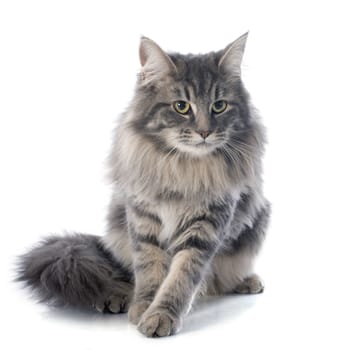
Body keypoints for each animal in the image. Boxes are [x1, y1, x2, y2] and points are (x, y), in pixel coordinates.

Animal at [17, 32, 270, 336]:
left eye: (219, 106)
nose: (205, 132)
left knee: (219, 279)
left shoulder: (206, 225)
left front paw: (161, 315)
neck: (185, 168)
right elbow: (150, 270)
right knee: (120, 273)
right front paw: (144, 307)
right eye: (181, 106)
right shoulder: (143, 218)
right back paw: (116, 297)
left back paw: (245, 281)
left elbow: (181, 276)